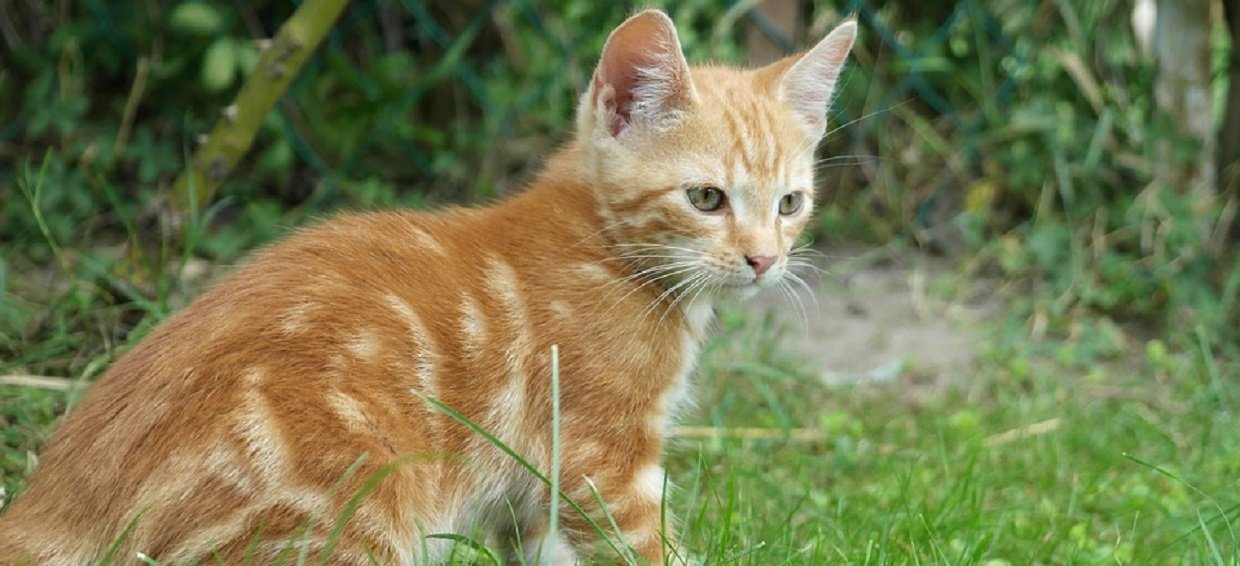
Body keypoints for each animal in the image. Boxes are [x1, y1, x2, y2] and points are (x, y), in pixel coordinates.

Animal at [0, 9, 853, 566]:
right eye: (706, 198)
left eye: (790, 203)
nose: (764, 261)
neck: (605, 250)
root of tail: (54, 501)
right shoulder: (601, 463)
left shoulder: (534, 497)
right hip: (350, 515)